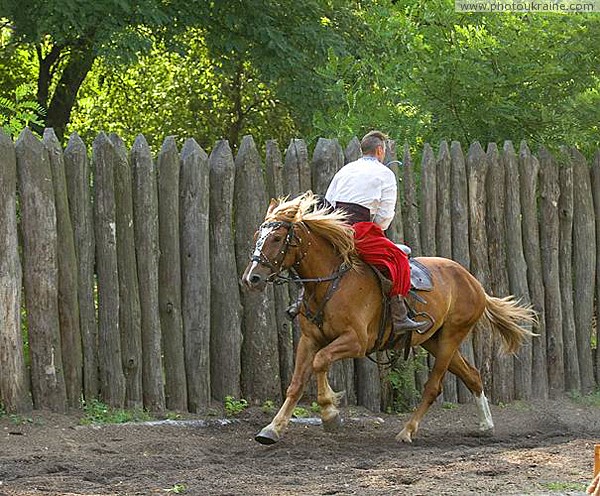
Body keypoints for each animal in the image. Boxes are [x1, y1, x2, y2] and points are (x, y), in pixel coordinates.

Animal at [241, 192, 536, 444]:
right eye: (257, 235)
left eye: (277, 238)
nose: (252, 278)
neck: (332, 281)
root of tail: (475, 284)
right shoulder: (309, 339)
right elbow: (297, 382)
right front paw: (272, 428)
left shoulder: (356, 342)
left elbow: (320, 361)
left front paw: (329, 414)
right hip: (434, 340)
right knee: (472, 376)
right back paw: (486, 425)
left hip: (451, 337)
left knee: (433, 387)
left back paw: (407, 431)